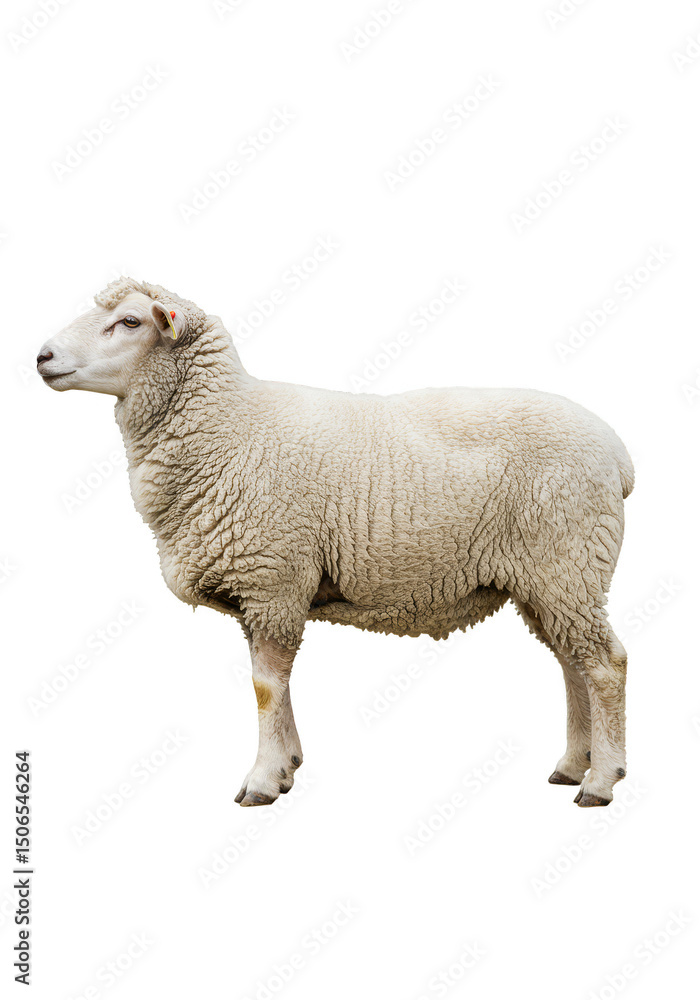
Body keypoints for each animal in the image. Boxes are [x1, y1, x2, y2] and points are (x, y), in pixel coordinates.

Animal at [37, 276, 634, 808]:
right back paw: (571, 766)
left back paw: (600, 781)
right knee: (572, 663)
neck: (227, 427)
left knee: (606, 666)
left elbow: (264, 686)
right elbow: (273, 684)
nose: (42, 356)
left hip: (568, 561)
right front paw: (287, 766)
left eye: (130, 321)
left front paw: (261, 781)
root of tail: (618, 454)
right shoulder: (262, 593)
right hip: (549, 578)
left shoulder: (273, 579)